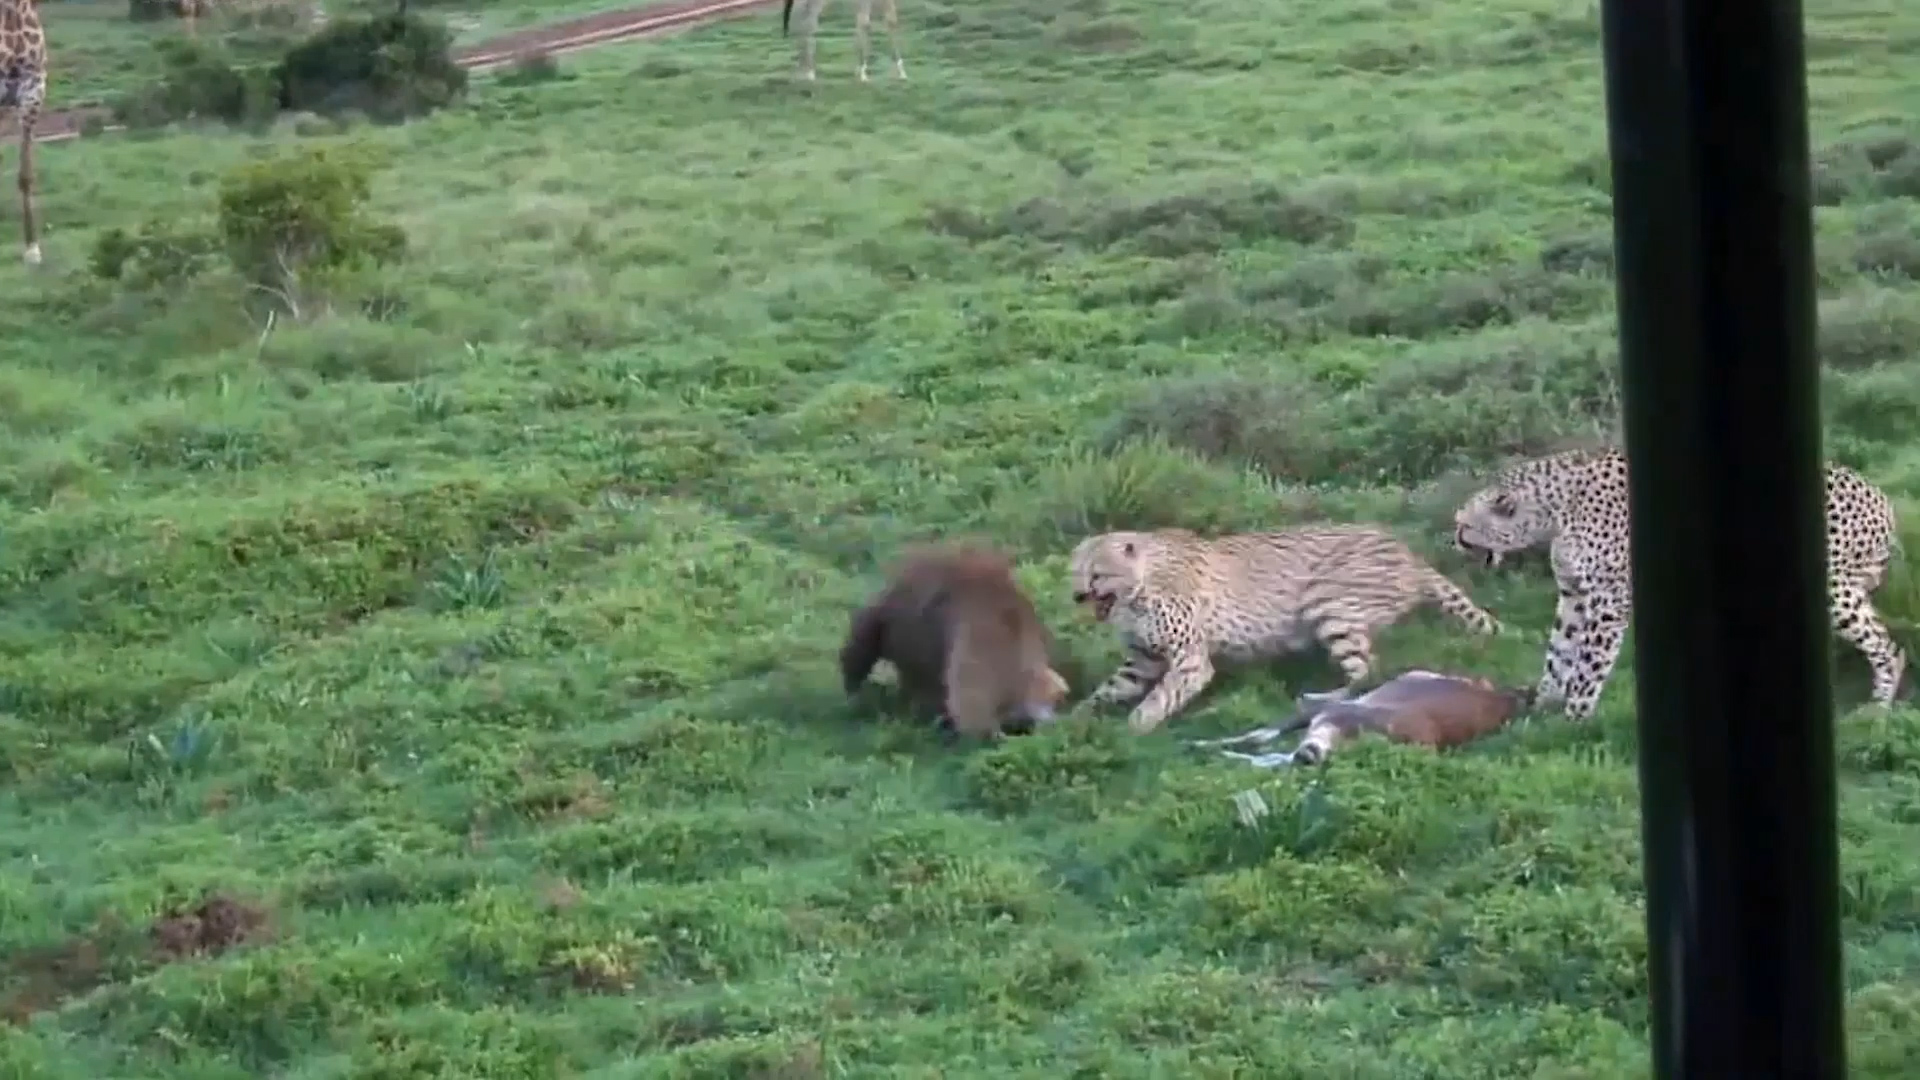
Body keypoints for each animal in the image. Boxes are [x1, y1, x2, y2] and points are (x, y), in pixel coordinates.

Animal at [1067, 522, 1497, 730]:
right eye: (1074, 573)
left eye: (1097, 574)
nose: (1077, 595)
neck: (1139, 585)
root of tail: (1407, 552)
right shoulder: (1142, 660)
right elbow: (1108, 690)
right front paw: (1074, 723)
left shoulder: (1190, 658)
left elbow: (1161, 695)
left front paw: (1137, 726)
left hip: (1327, 600)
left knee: (1367, 671)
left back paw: (1319, 698)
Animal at [1451, 441, 1904, 718]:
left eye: (1464, 524)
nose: (1453, 538)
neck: (1556, 509)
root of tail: (1883, 500)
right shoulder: (1574, 594)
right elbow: (1559, 652)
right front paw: (1542, 708)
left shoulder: (1608, 600)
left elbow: (1587, 665)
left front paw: (1575, 716)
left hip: (1830, 588)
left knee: (1890, 647)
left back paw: (1878, 707)